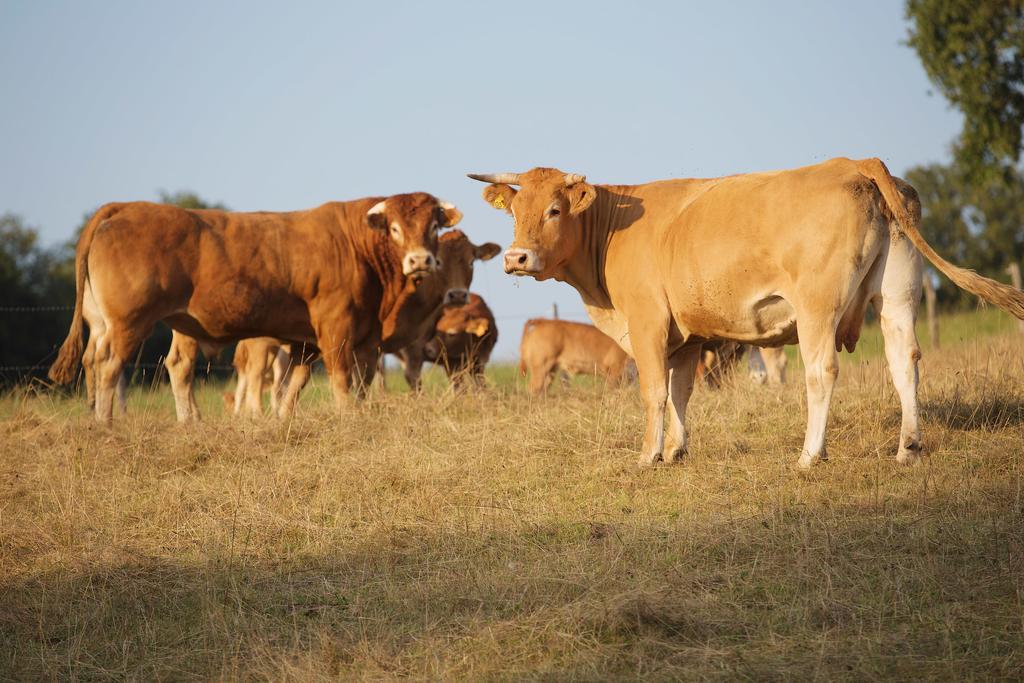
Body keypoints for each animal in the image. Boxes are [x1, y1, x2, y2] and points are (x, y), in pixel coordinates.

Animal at [48, 192, 462, 423]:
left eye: (433, 227)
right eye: (394, 228)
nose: (420, 260)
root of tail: (124, 208)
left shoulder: (317, 340)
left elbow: (295, 384)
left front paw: (282, 419)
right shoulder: (336, 327)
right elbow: (343, 381)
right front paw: (348, 418)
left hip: (114, 323)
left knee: (140, 363)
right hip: (128, 322)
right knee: (108, 366)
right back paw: (106, 422)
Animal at [468, 158, 1024, 471]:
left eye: (555, 210)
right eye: (515, 212)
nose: (516, 258)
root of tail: (855, 164)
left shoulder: (648, 325)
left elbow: (653, 392)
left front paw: (649, 455)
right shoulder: (688, 338)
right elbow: (680, 393)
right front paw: (677, 450)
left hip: (817, 307)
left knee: (821, 372)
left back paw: (809, 456)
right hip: (897, 297)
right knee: (904, 361)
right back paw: (908, 446)